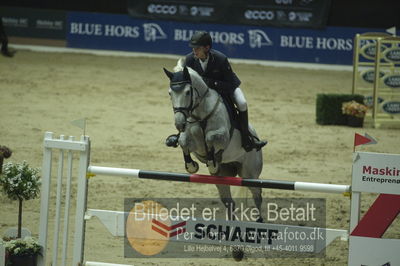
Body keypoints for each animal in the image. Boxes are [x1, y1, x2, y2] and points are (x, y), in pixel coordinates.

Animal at [164, 64, 264, 224]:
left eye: (187, 92)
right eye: (170, 93)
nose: (179, 123)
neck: (199, 114)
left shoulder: (222, 136)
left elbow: (210, 138)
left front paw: (211, 162)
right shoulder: (193, 142)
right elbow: (183, 141)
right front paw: (191, 166)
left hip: (250, 173)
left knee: (257, 194)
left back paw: (259, 221)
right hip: (221, 177)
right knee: (229, 201)